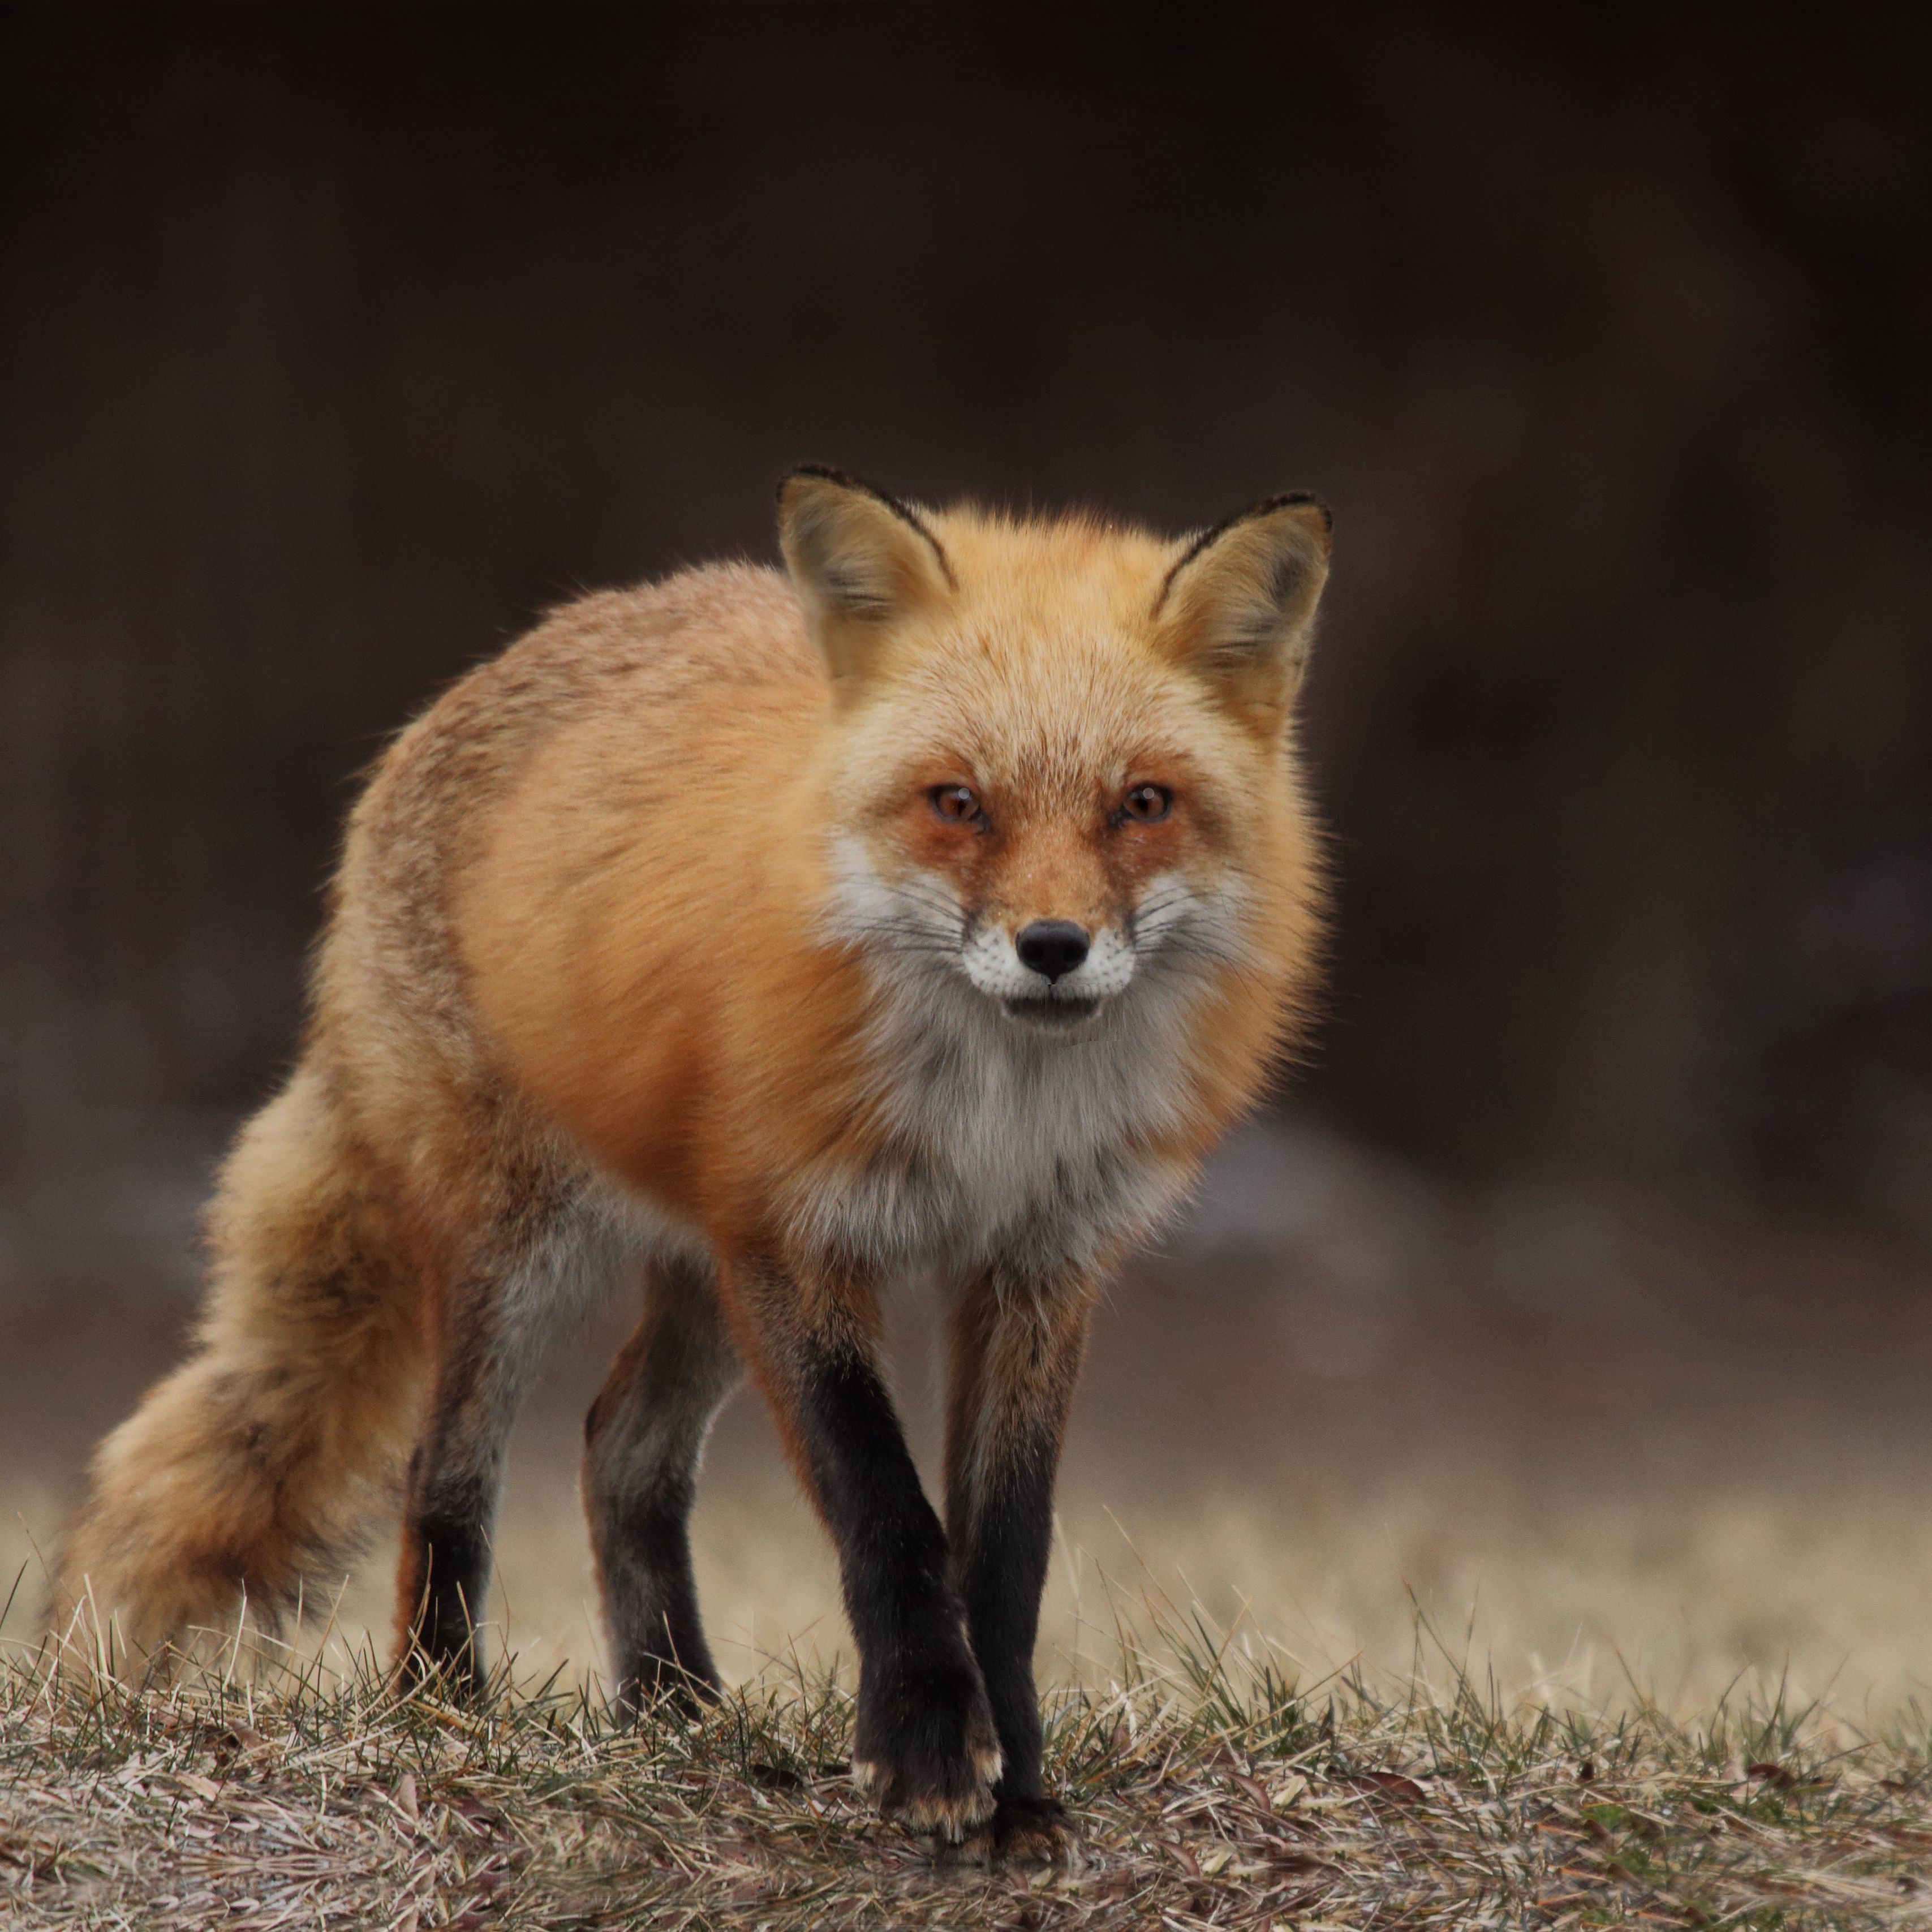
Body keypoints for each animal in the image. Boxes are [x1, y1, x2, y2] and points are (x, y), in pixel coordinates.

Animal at [53, 471, 1337, 1854]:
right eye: (957, 803)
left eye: (1143, 803)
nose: (1053, 947)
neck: (994, 1117)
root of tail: (487, 673)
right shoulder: (799, 1240)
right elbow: (888, 1514)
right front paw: (929, 1750)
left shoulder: (1038, 1267)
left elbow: (1004, 1549)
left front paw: (1022, 1788)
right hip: (532, 1249)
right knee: (445, 1471)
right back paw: (445, 1708)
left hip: (704, 1273)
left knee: (619, 1450)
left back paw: (675, 1711)